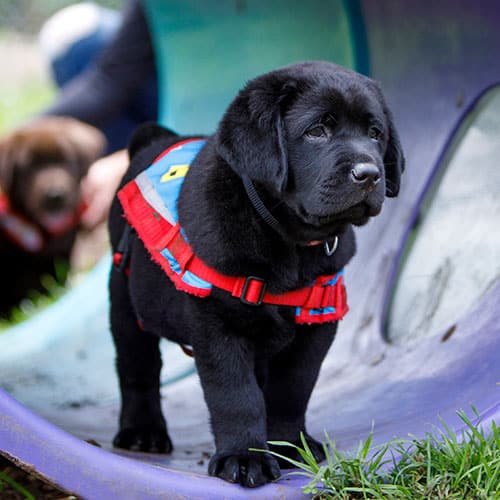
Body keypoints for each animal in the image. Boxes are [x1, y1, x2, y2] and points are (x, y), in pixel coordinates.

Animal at [108, 62, 402, 488]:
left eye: (375, 133)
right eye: (317, 130)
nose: (369, 173)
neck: (288, 241)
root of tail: (157, 138)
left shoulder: (316, 326)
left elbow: (292, 388)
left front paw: (287, 446)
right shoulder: (218, 324)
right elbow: (236, 395)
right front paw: (244, 457)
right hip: (126, 300)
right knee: (138, 369)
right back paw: (142, 432)